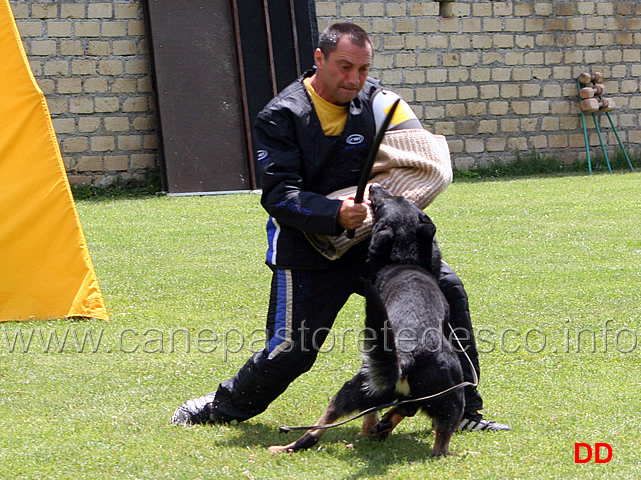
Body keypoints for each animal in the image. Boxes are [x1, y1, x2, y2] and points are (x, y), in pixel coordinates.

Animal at [268, 185, 462, 458]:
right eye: (397, 198)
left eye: (384, 201)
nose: (374, 187)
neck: (405, 260)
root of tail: (408, 357)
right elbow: (399, 410)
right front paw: (381, 426)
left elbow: (380, 414)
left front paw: (374, 428)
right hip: (449, 402)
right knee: (437, 441)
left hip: (356, 388)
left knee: (315, 431)